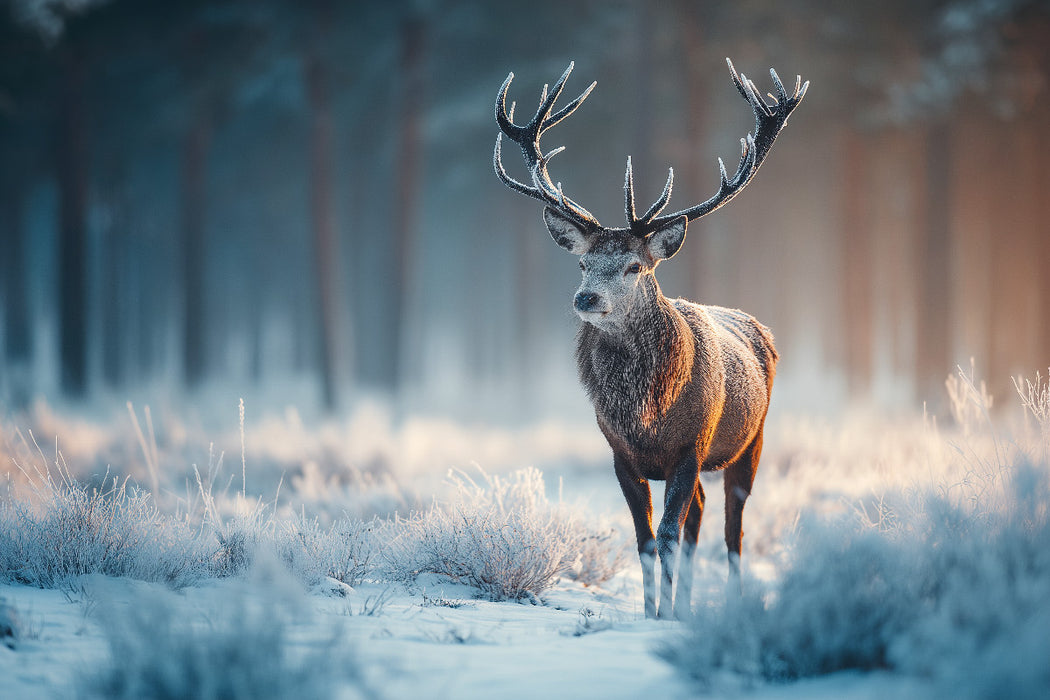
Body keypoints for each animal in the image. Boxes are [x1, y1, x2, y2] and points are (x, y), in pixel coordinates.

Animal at [493, 59, 808, 619]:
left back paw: (727, 603)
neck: (647, 416)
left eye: (635, 266)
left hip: (751, 440)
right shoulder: (620, 455)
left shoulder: (690, 446)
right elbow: (643, 538)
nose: (586, 298)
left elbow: (667, 534)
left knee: (731, 530)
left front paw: (661, 616)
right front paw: (650, 613)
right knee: (698, 517)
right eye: (582, 263)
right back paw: (684, 607)